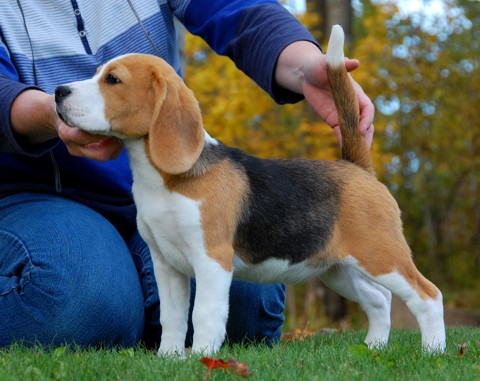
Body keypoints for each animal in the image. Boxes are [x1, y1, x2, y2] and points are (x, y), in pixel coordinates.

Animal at [54, 26, 444, 356]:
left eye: (113, 79)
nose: (58, 92)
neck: (164, 179)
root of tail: (357, 167)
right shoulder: (166, 263)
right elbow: (173, 317)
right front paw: (168, 358)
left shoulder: (212, 260)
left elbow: (204, 314)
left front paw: (202, 357)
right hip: (336, 267)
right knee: (379, 300)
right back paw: (374, 347)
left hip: (380, 255)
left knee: (427, 295)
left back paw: (433, 351)